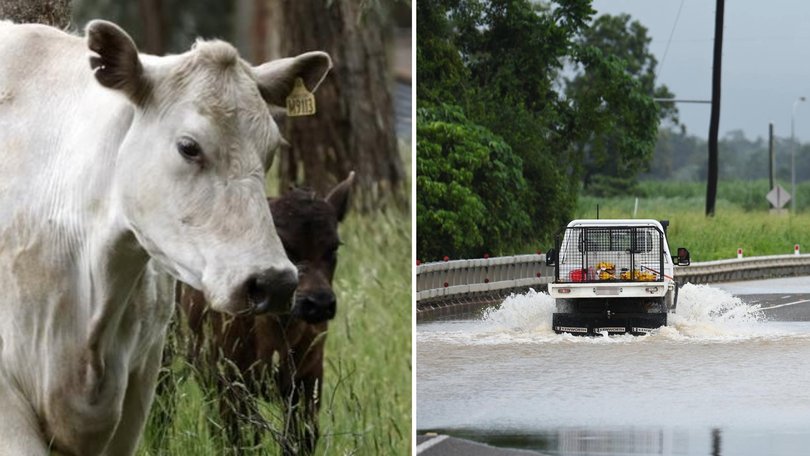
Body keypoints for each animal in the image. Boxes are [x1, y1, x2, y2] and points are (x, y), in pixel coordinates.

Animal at [176, 172, 354, 454]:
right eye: (283, 245)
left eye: (334, 247)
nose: (319, 302)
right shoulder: (230, 381)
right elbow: (242, 440)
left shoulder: (308, 380)